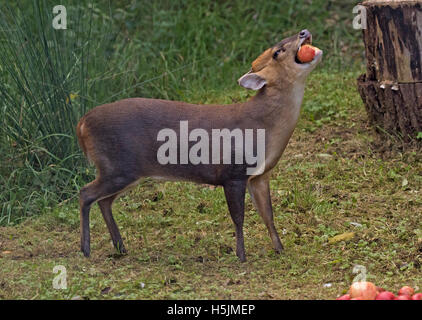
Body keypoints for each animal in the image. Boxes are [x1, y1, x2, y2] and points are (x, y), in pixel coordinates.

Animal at [77, 28, 324, 262]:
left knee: (104, 201)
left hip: (126, 172)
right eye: (277, 51)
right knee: (85, 193)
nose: (303, 31)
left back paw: (120, 247)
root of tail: (81, 124)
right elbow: (239, 217)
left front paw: (280, 249)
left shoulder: (260, 176)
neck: (264, 127)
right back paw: (86, 249)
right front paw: (241, 256)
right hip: (117, 166)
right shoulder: (232, 173)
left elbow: (268, 214)